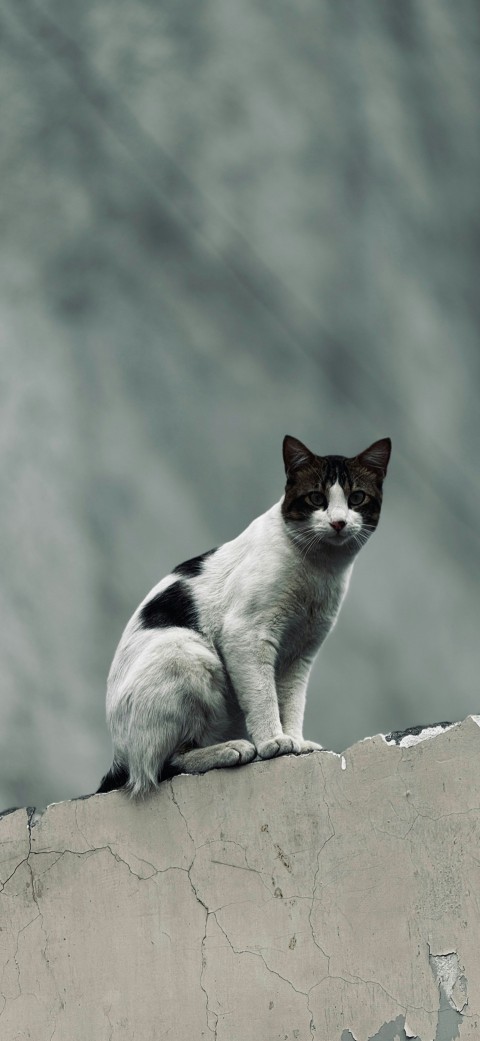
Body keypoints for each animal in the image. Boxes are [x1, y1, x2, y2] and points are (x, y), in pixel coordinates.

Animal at [96, 435, 389, 791]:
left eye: (356, 498)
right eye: (316, 498)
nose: (338, 522)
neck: (320, 570)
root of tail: (118, 756)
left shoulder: (300, 654)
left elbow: (292, 703)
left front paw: (296, 741)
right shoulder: (246, 636)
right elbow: (264, 697)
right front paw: (274, 742)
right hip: (187, 653)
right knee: (162, 765)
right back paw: (231, 749)